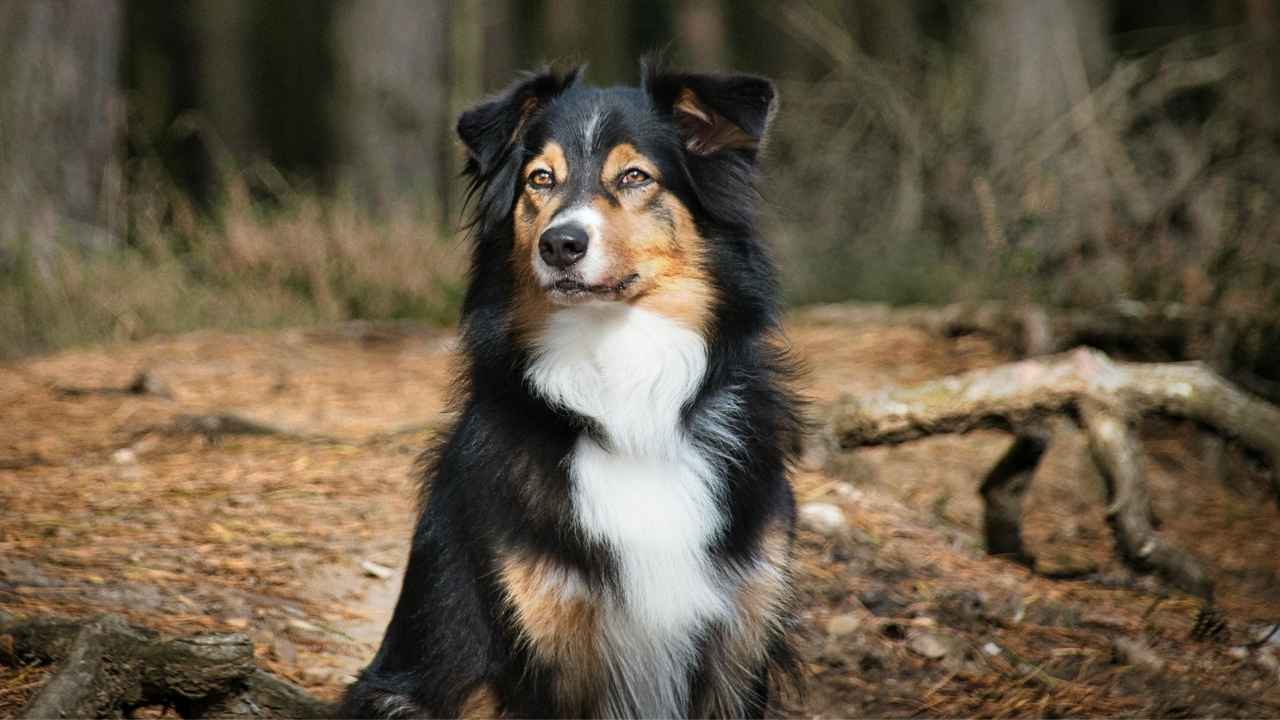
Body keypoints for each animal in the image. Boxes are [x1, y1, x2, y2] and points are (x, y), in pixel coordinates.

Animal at [340, 63, 798, 717]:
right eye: (540, 179)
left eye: (635, 176)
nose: (560, 244)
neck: (624, 393)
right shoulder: (539, 646)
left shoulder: (739, 642)